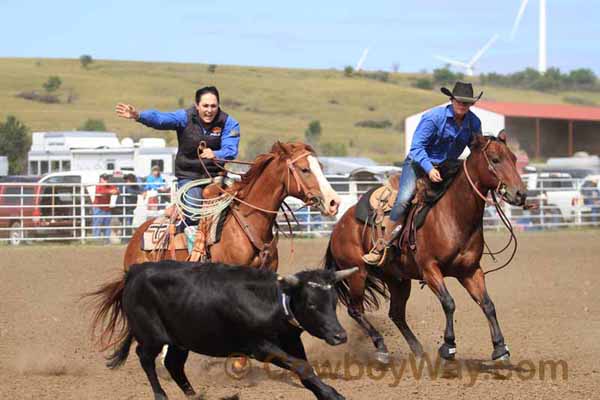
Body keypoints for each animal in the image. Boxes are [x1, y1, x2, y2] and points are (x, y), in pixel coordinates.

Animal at [90, 262, 356, 400]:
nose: (340, 336)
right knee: (145, 358)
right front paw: (332, 394)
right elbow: (302, 366)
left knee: (173, 364)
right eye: (311, 304)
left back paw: (193, 395)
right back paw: (161, 395)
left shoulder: (291, 343)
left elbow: (303, 368)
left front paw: (324, 393)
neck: (273, 301)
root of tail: (135, 271)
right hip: (152, 336)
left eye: (333, 301)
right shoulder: (261, 347)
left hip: (181, 339)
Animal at [326, 133, 528, 364]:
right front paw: (448, 347)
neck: (453, 214)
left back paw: (418, 350)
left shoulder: (470, 271)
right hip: (357, 273)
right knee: (355, 310)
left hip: (397, 279)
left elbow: (487, 304)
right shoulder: (430, 269)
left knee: (396, 314)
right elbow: (449, 303)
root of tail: (339, 226)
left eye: (514, 158)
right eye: (495, 159)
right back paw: (382, 347)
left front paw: (500, 348)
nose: (520, 194)